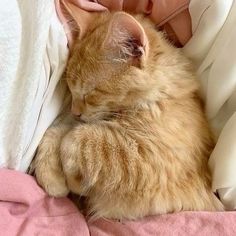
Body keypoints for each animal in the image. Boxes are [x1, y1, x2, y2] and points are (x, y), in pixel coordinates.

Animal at [33, 10, 223, 220]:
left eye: (89, 93)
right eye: (70, 89)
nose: (75, 112)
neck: (160, 96)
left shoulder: (146, 155)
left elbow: (74, 139)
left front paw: (75, 181)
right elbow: (56, 132)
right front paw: (53, 178)